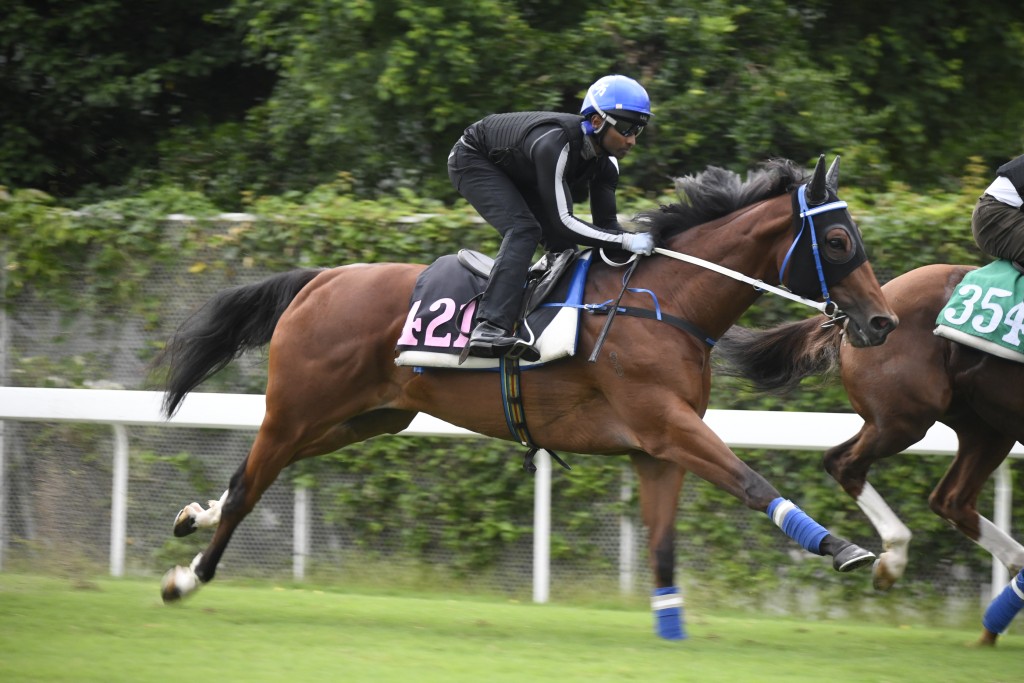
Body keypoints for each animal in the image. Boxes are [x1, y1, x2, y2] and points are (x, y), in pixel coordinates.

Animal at [157, 154, 897, 634]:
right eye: (838, 239)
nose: (881, 322)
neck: (666, 303)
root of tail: (321, 278)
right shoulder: (666, 421)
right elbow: (750, 480)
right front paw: (846, 548)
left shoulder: (656, 447)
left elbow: (662, 544)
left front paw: (670, 628)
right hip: (298, 407)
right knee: (251, 483)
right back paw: (187, 576)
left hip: (368, 417)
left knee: (257, 471)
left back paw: (195, 515)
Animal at [716, 264, 1024, 610]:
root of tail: (849, 319)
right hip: (904, 419)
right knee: (843, 462)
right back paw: (893, 559)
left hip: (985, 428)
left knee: (951, 500)